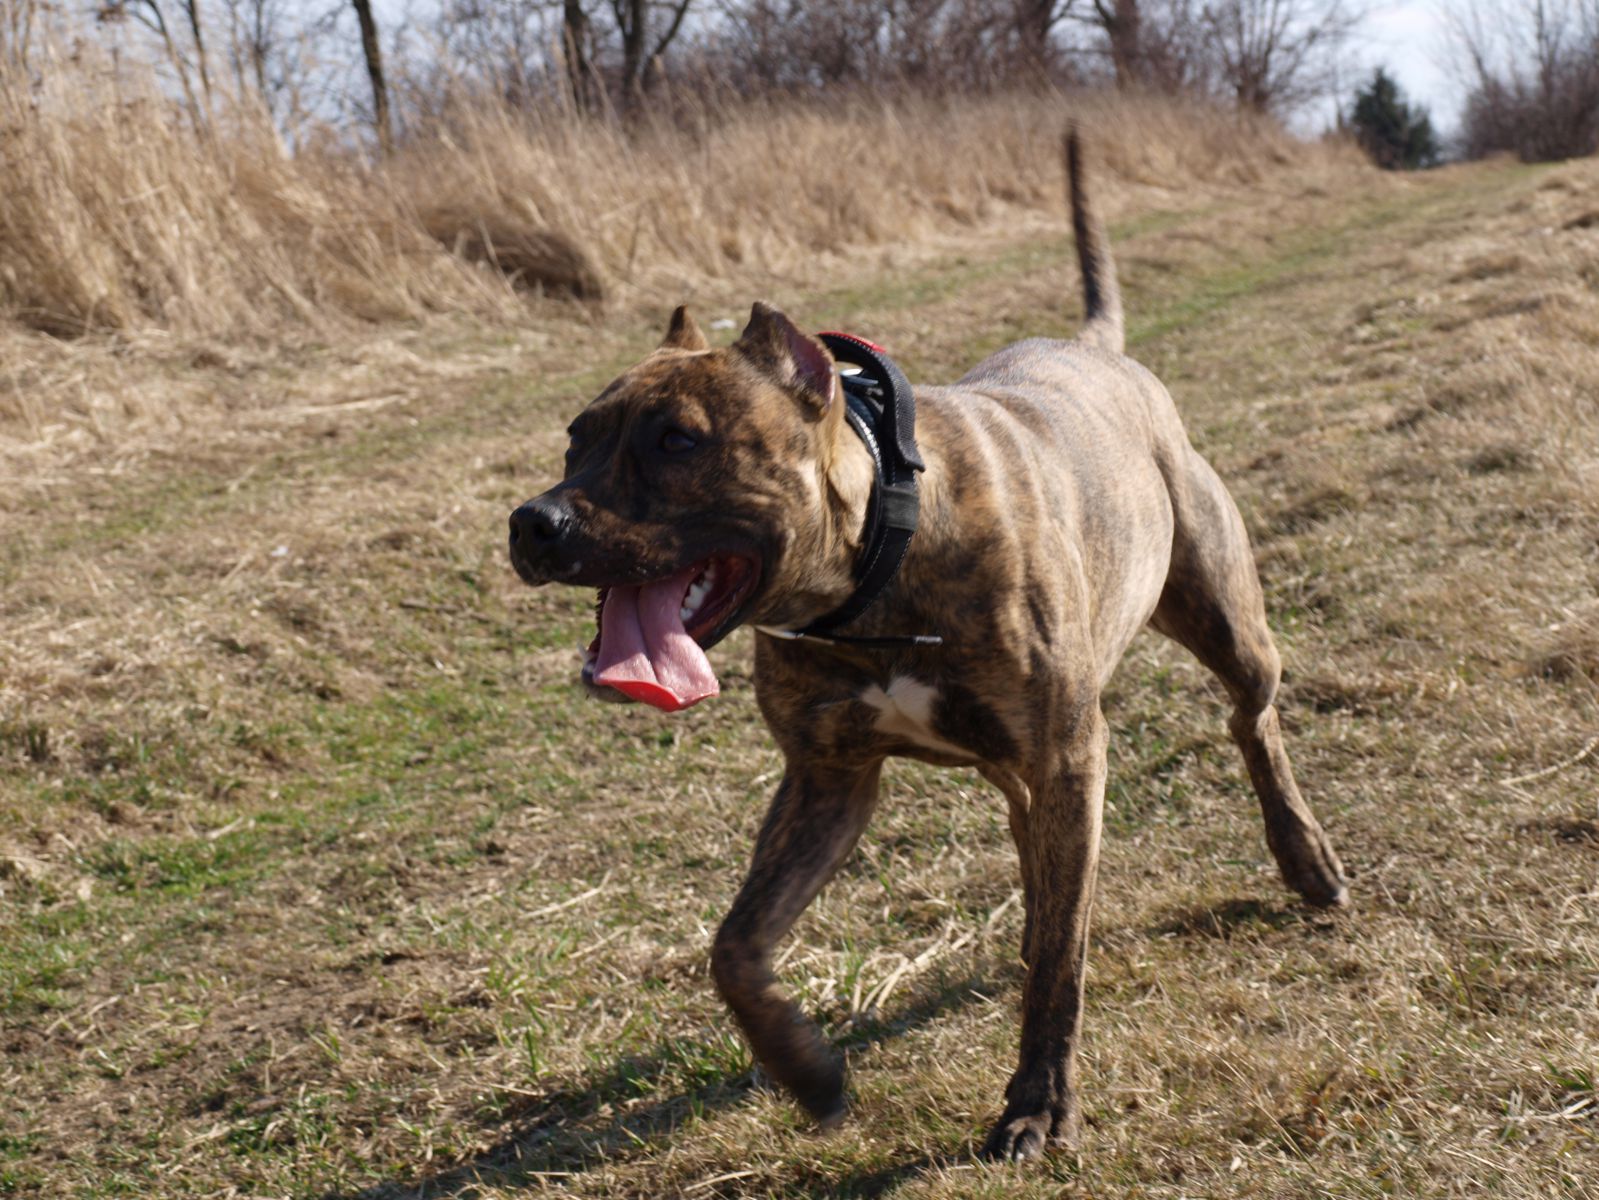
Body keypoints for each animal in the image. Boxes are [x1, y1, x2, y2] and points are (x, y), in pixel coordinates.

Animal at [508, 131, 1348, 1161]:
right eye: (576, 438)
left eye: (677, 440)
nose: (533, 521)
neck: (874, 568)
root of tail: (1098, 352)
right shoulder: (827, 780)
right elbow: (735, 947)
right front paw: (806, 1069)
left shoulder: (1068, 753)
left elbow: (1062, 957)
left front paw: (1038, 1101)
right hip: (1021, 763)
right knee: (1039, 848)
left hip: (1220, 626)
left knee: (1249, 723)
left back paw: (1305, 860)